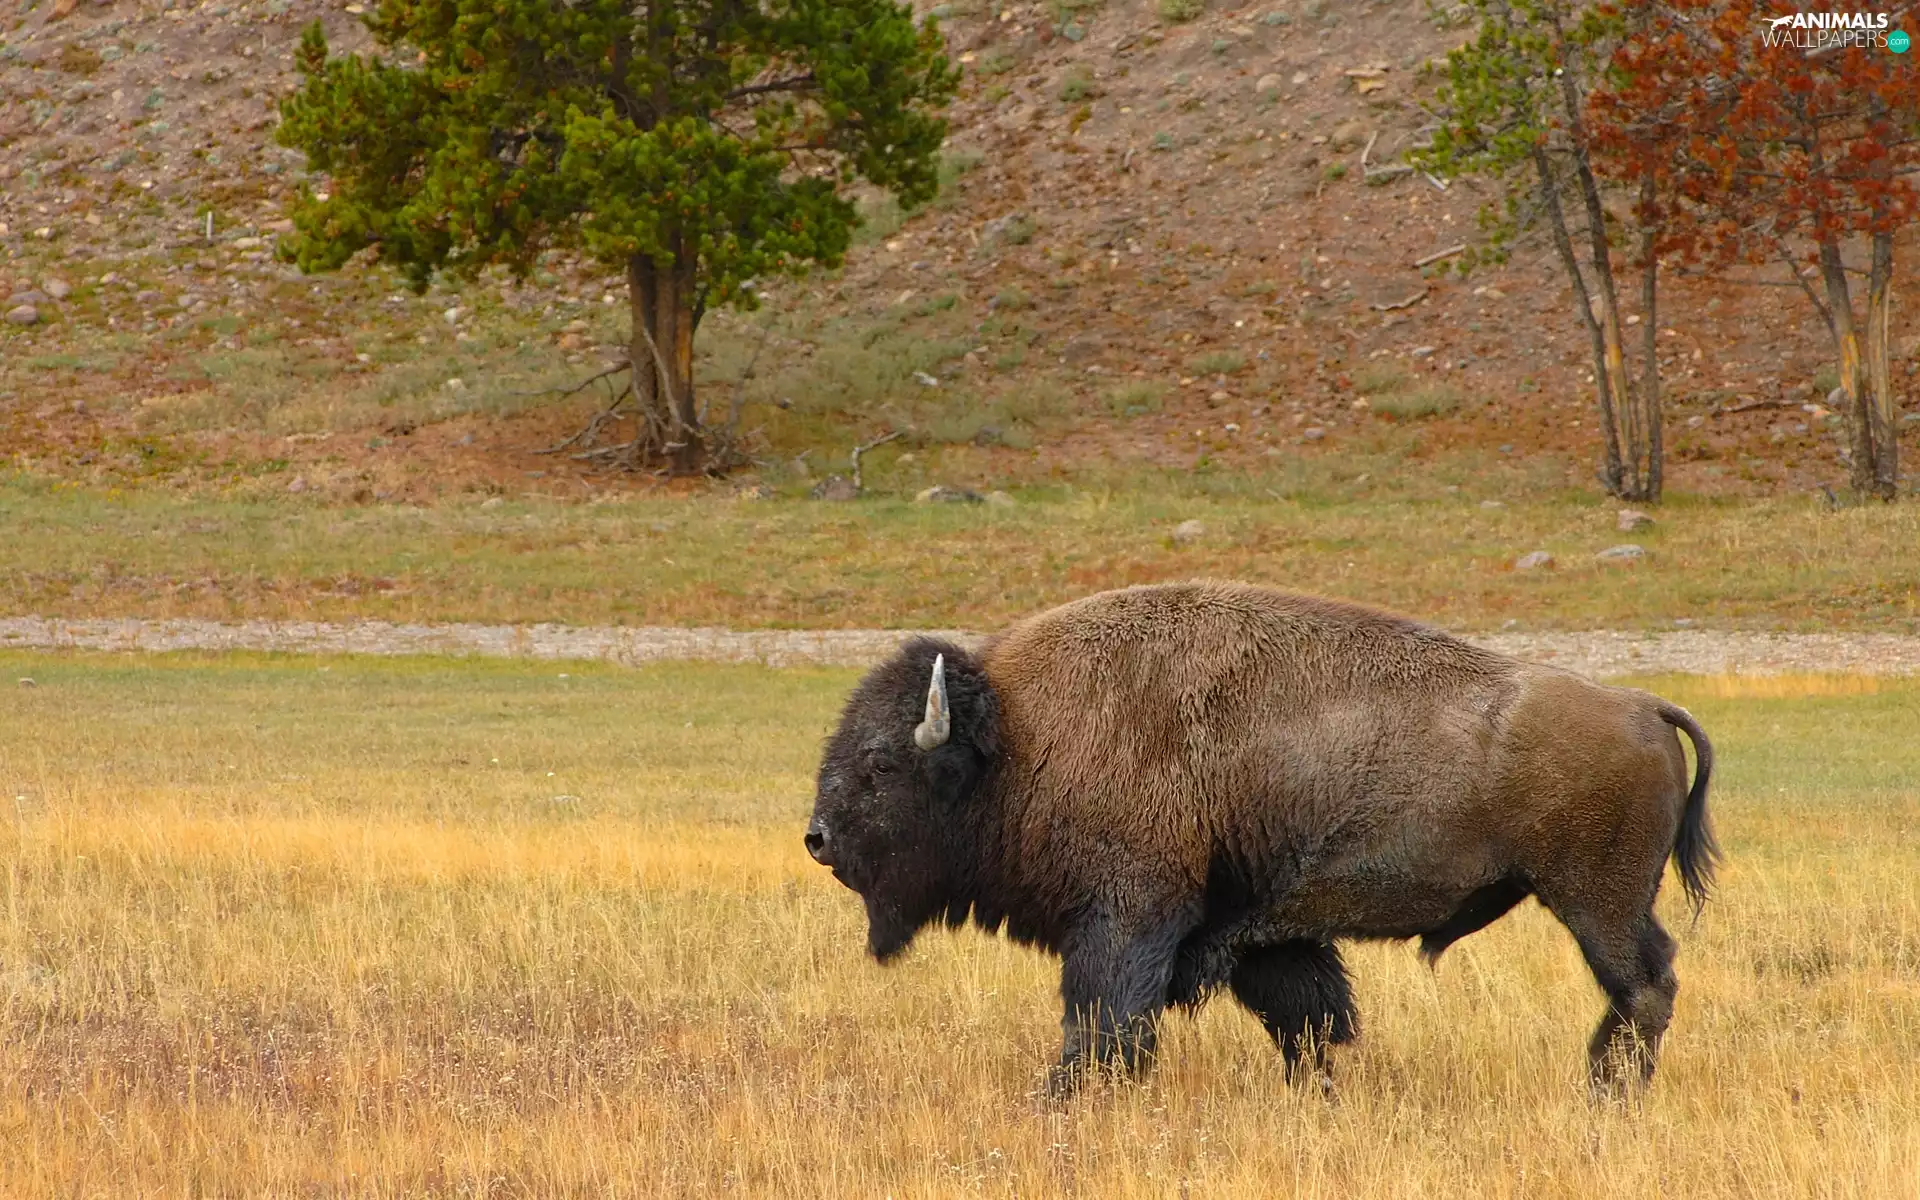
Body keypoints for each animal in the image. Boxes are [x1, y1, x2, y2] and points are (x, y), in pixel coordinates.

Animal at [805, 582, 1718, 1096]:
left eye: (882, 764)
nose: (817, 838)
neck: (1021, 734)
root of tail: (1641, 703)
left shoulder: (1127, 918)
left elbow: (1104, 1023)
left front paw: (1059, 1099)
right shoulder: (1262, 936)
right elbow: (1308, 1021)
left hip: (1596, 903)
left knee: (1646, 986)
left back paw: (1606, 1092)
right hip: (1604, 902)